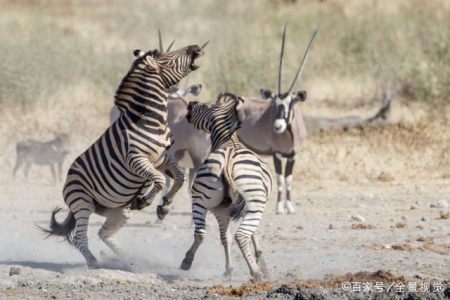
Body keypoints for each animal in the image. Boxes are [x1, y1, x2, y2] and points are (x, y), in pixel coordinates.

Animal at [40, 42, 206, 270]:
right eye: (168, 58)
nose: (195, 47)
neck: (148, 118)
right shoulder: (136, 159)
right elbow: (159, 179)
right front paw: (146, 201)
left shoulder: (163, 158)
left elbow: (179, 178)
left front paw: (164, 207)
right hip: (82, 201)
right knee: (80, 238)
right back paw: (94, 262)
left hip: (119, 209)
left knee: (105, 234)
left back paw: (129, 260)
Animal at [180, 93, 272, 282]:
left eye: (204, 106)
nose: (190, 104)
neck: (228, 141)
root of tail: (228, 163)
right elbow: (252, 234)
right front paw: (261, 265)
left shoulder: (223, 210)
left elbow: (226, 238)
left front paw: (231, 269)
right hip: (251, 205)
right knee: (241, 235)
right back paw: (255, 272)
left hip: (203, 202)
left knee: (201, 233)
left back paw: (187, 261)